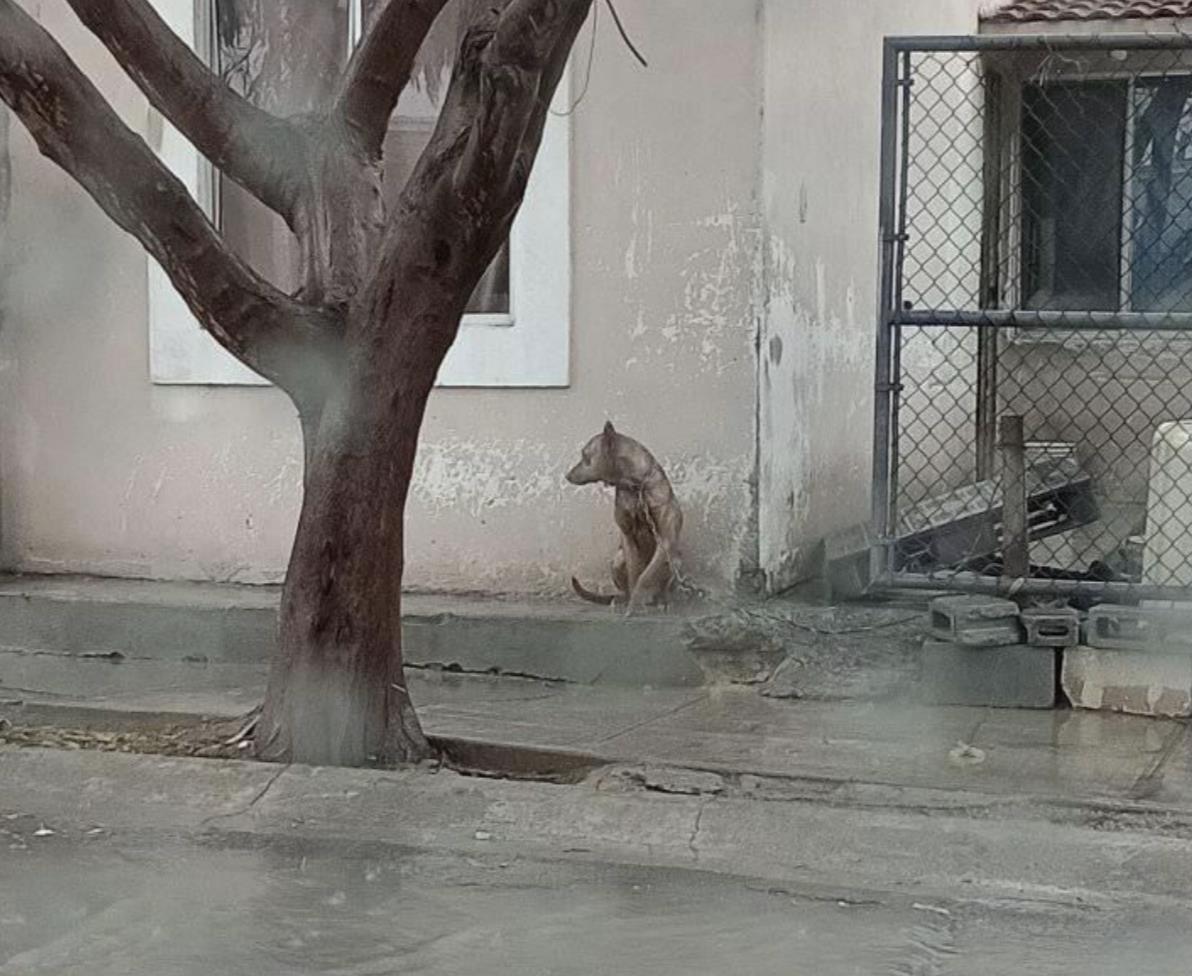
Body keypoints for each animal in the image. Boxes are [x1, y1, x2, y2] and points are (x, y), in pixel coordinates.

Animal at [565, 421, 686, 610]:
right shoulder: (628, 537)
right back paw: (623, 600)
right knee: (626, 585)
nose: (567, 475)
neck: (636, 485)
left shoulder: (665, 541)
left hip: (676, 559)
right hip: (617, 558)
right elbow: (634, 574)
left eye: (585, 456)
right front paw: (633, 603)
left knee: (663, 585)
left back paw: (662, 601)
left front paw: (636, 604)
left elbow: (647, 575)